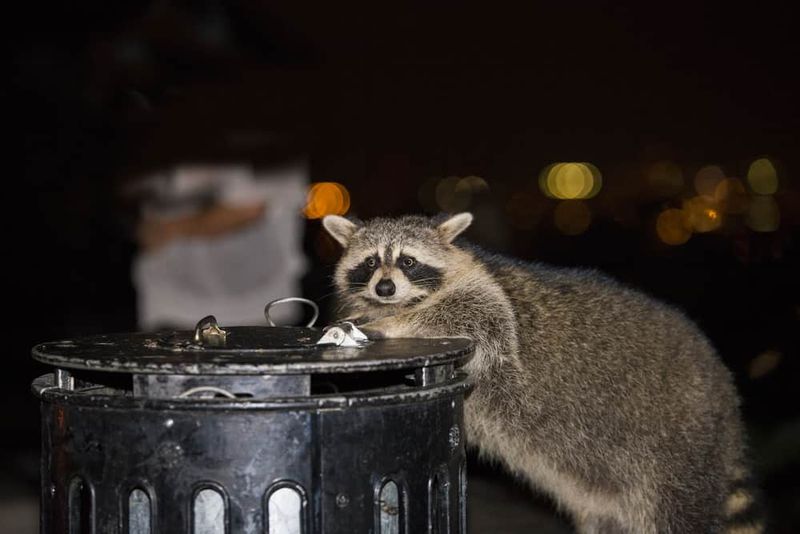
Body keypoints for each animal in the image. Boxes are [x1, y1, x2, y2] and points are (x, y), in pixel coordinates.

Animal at [322, 212, 763, 534]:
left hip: (678, 446)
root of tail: (721, 385)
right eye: (370, 262)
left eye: (408, 261)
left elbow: (474, 317)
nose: (384, 289)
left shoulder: (488, 298)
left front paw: (392, 323)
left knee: (681, 512)